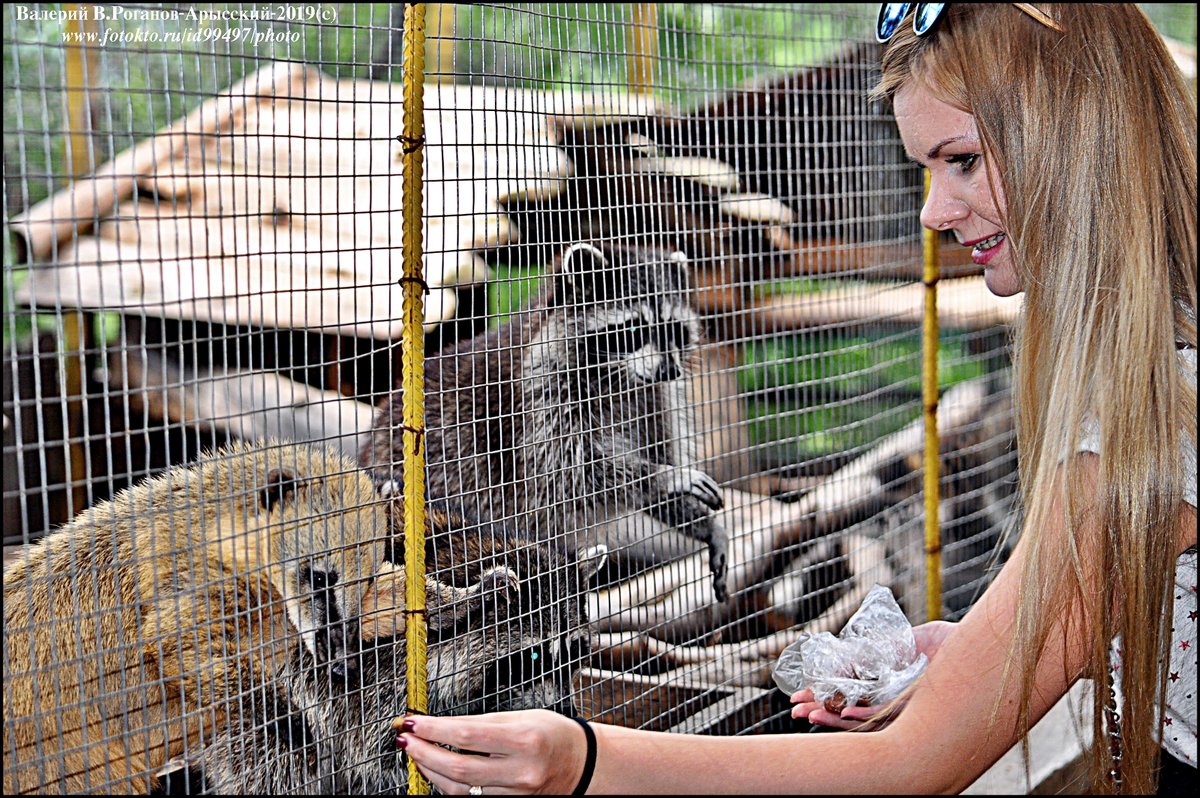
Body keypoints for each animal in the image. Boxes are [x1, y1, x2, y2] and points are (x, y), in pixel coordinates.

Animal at [2, 439, 386, 792]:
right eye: (320, 578)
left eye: (367, 580)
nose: (346, 668)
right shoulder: (192, 576)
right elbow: (177, 643)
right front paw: (286, 718)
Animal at [202, 504, 609, 792]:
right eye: (534, 656)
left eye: (574, 654)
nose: (568, 715)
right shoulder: (372, 677)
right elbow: (373, 751)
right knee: (281, 752)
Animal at [360, 241, 724, 597]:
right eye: (634, 328)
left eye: (675, 329)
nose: (671, 371)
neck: (617, 376)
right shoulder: (541, 395)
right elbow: (568, 476)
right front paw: (662, 476)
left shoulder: (655, 399)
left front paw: (701, 521)